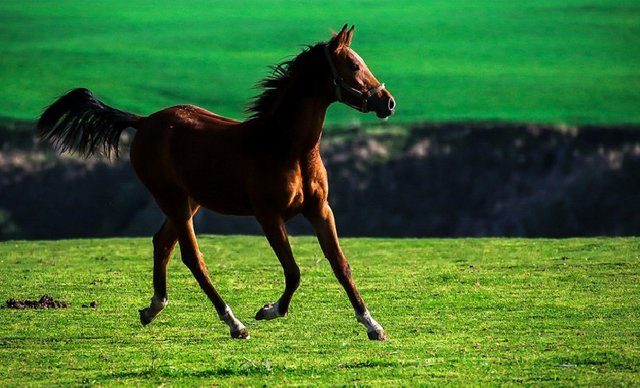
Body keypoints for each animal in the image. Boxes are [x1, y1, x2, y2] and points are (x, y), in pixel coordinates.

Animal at [37, 25, 396, 340]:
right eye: (353, 65)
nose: (388, 102)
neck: (286, 147)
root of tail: (144, 121)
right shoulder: (268, 216)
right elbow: (293, 271)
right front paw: (269, 310)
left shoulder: (320, 209)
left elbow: (341, 265)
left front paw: (373, 326)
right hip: (173, 200)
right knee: (192, 258)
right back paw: (234, 323)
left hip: (189, 200)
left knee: (162, 243)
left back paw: (153, 309)